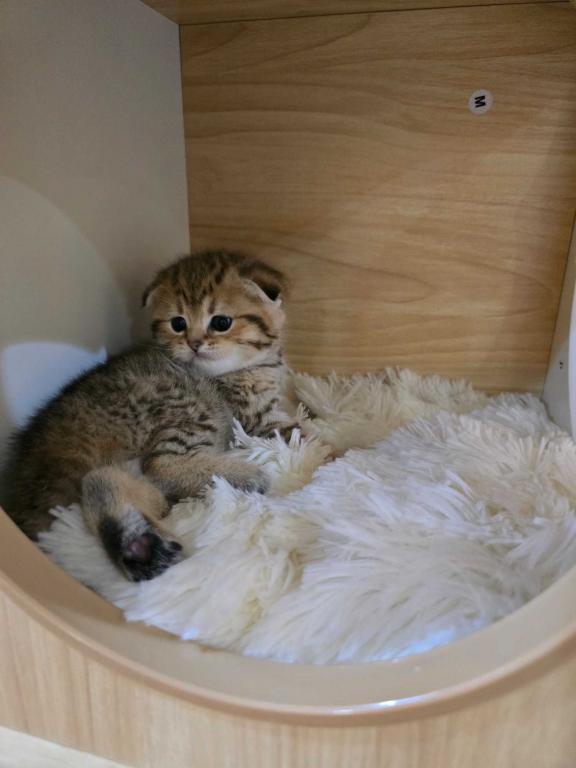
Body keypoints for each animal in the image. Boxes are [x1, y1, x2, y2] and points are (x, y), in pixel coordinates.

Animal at [3, 250, 297, 581]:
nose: (194, 343)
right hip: (189, 404)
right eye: (178, 323)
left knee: (108, 481)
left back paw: (139, 546)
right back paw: (244, 477)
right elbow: (304, 431)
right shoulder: (254, 420)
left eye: (221, 322)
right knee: (157, 464)